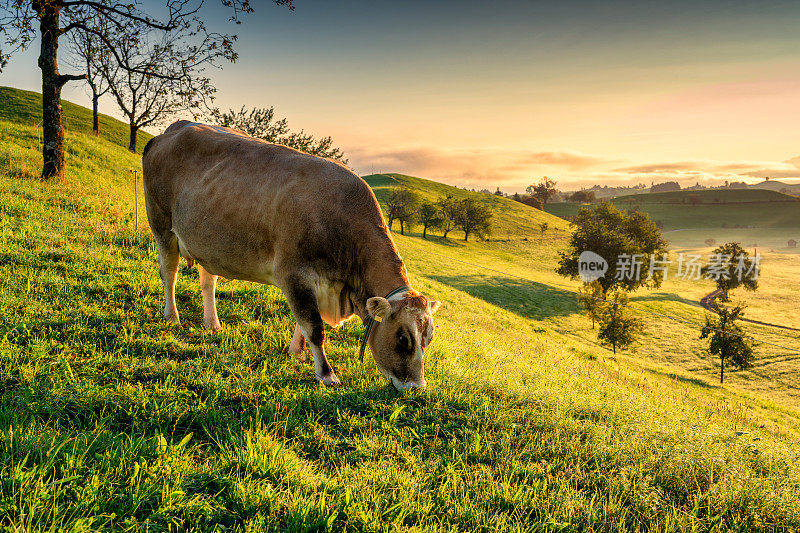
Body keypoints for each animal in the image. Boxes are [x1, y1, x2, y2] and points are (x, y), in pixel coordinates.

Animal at [145, 121, 444, 390]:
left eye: (428, 339)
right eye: (404, 339)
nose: (418, 387)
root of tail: (172, 129)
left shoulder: (316, 282)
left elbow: (304, 324)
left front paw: (296, 352)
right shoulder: (294, 274)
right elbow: (314, 327)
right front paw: (326, 374)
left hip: (207, 242)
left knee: (208, 281)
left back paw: (212, 324)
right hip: (161, 225)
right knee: (169, 273)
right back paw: (172, 317)